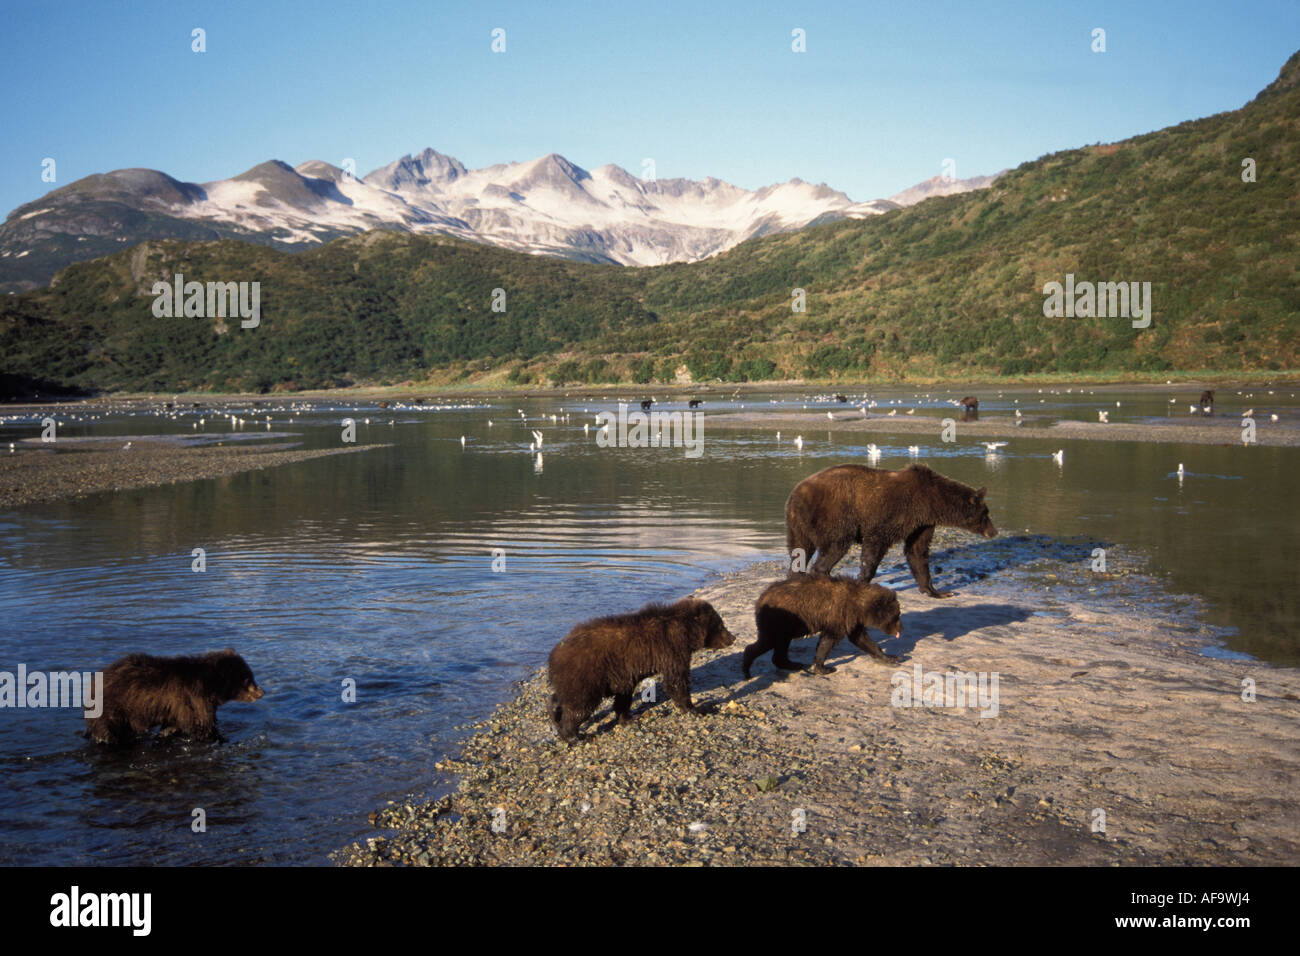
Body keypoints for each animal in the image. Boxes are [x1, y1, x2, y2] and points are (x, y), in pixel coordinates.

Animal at [85, 650, 263, 749]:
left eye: (250, 676)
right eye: (247, 679)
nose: (261, 692)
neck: (210, 685)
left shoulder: (176, 707)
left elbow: (172, 724)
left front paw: (165, 733)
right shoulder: (194, 699)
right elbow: (204, 727)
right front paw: (224, 739)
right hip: (113, 707)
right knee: (109, 730)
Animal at [546, 595, 738, 743]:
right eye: (720, 625)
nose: (733, 637)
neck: (687, 632)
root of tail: (554, 654)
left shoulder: (624, 672)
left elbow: (623, 697)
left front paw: (628, 718)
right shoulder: (672, 650)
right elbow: (676, 681)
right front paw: (695, 708)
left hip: (570, 677)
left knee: (562, 697)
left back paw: (554, 715)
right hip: (586, 673)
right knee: (580, 705)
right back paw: (574, 736)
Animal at [743, 574, 904, 681]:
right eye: (896, 615)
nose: (901, 629)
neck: (860, 605)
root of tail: (761, 598)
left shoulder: (852, 620)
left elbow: (862, 639)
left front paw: (891, 657)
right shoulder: (839, 615)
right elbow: (828, 641)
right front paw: (824, 667)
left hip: (785, 626)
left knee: (780, 645)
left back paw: (793, 664)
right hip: (778, 621)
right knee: (768, 641)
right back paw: (747, 670)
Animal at [785, 463, 998, 598]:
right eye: (986, 513)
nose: (994, 532)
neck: (932, 501)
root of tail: (796, 493)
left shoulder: (922, 523)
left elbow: (917, 551)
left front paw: (937, 591)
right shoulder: (895, 513)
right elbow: (875, 545)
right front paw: (863, 582)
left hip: (798, 524)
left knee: (799, 552)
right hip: (834, 515)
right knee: (835, 546)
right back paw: (826, 577)